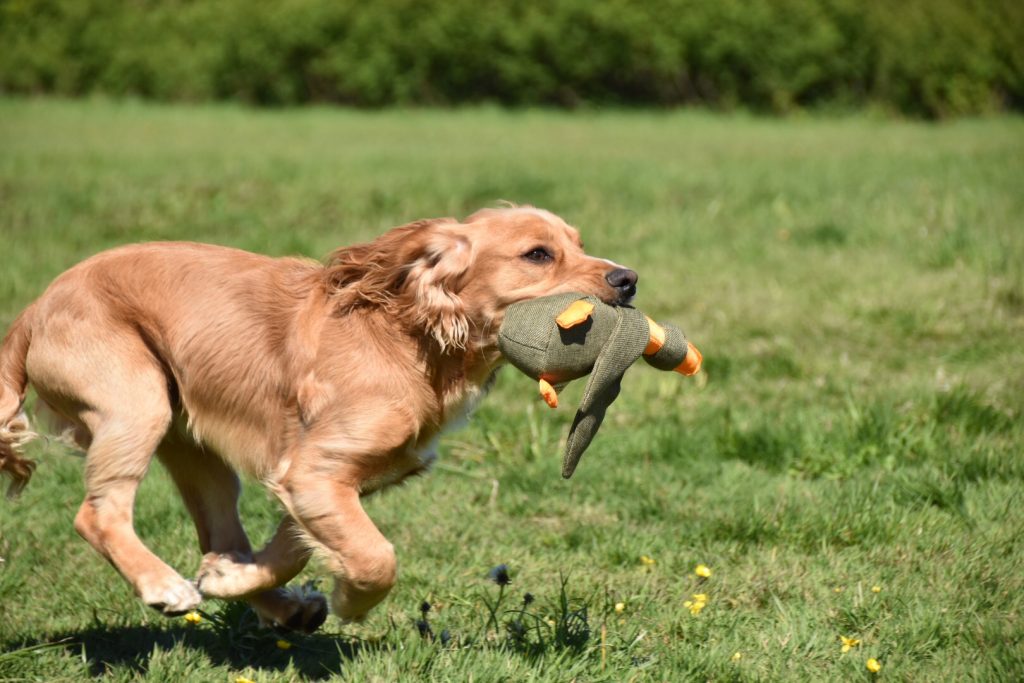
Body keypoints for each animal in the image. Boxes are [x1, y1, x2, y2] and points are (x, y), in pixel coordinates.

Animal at [0, 205, 634, 634]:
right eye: (538, 254)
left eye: (579, 243)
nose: (628, 279)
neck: (411, 338)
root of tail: (34, 309)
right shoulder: (316, 470)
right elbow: (377, 558)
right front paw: (354, 600)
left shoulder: (326, 478)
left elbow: (294, 550)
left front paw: (233, 579)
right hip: (137, 400)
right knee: (97, 514)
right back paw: (165, 587)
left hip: (195, 446)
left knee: (218, 535)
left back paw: (267, 600)